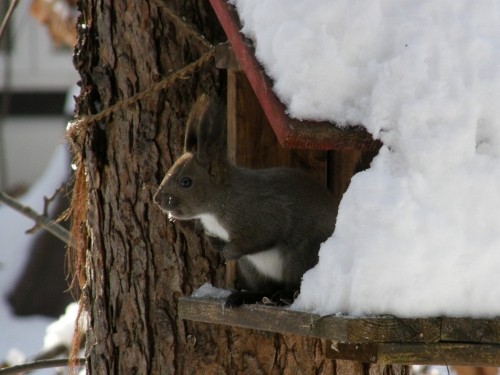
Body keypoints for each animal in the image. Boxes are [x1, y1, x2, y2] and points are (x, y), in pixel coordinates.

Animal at [153, 94, 336, 308]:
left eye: (186, 181)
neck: (216, 207)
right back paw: (246, 296)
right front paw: (215, 244)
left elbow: (261, 236)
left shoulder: (264, 212)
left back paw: (285, 295)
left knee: (293, 282)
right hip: (251, 268)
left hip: (300, 256)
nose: (157, 199)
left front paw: (228, 252)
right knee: (265, 289)